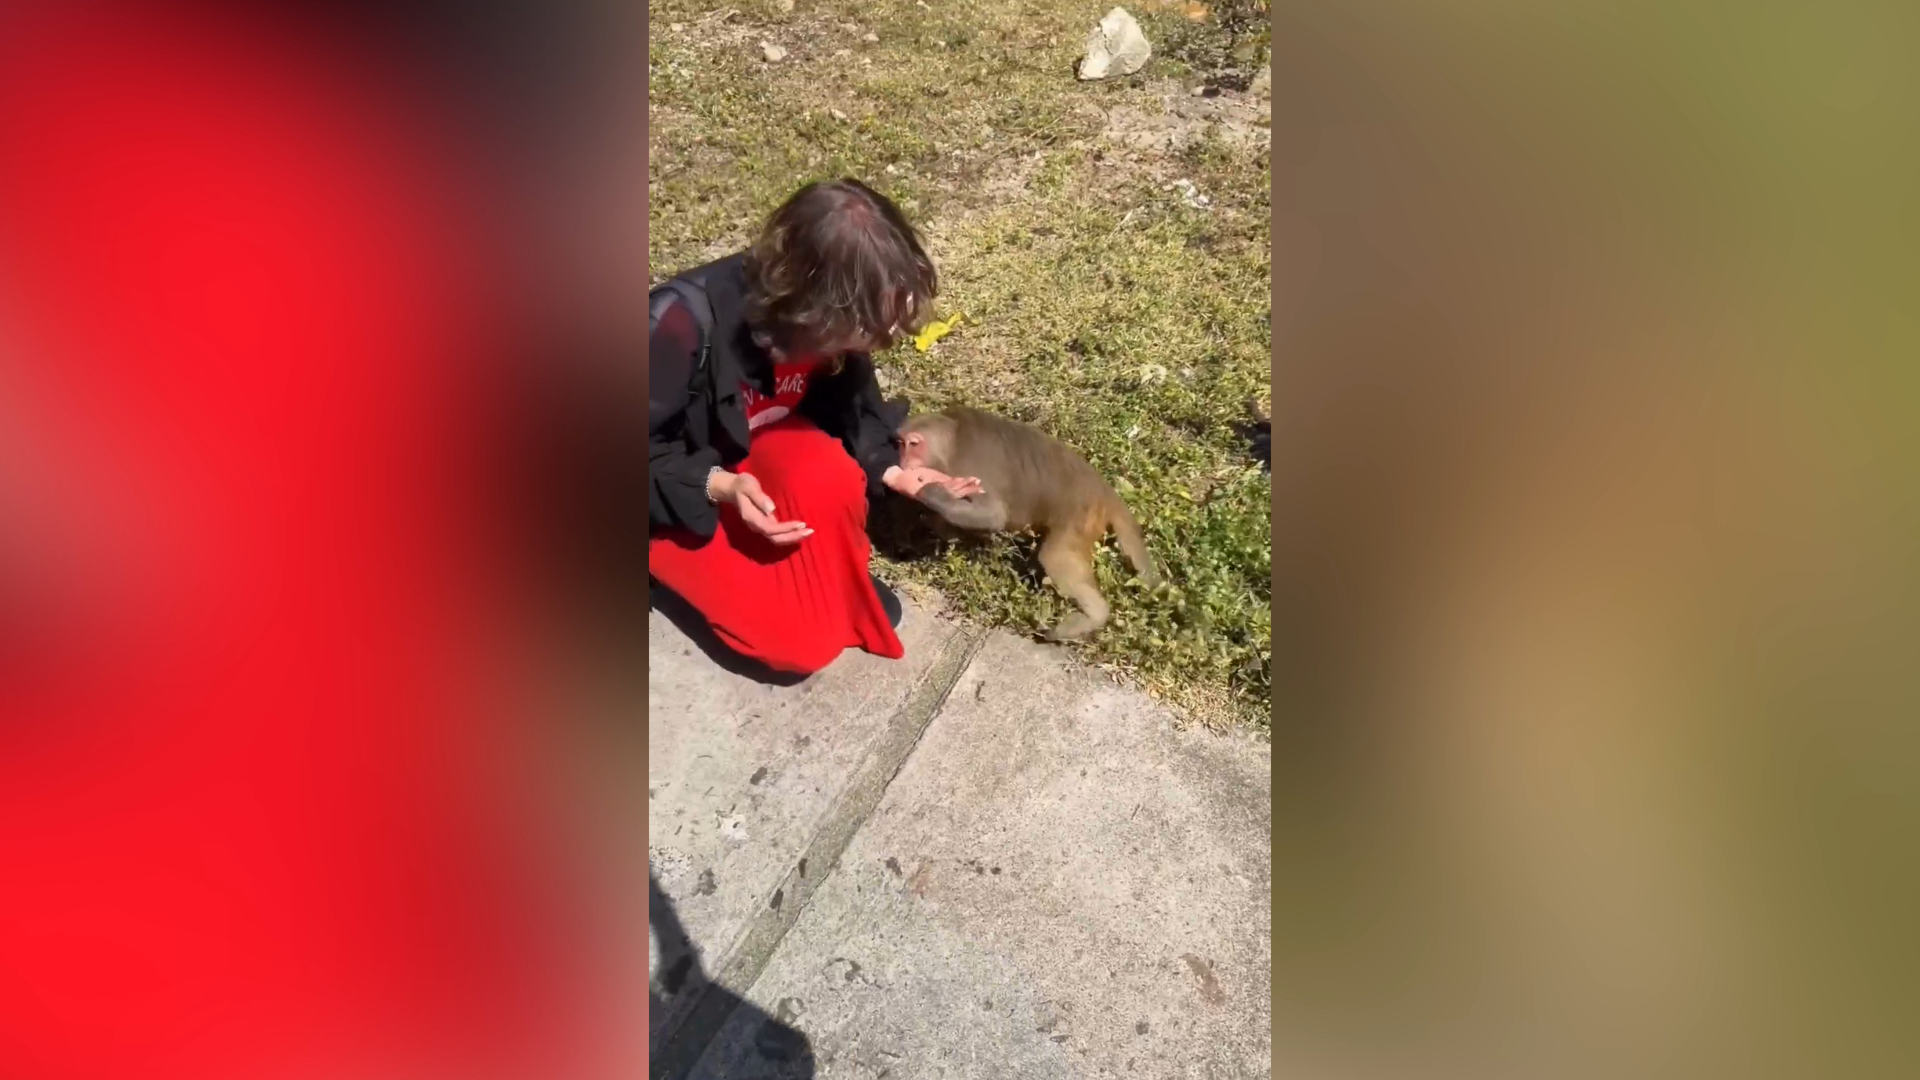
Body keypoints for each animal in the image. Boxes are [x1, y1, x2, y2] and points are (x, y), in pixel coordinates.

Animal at [896, 406, 1159, 641]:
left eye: (912, 445)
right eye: (900, 444)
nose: (902, 461)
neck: (951, 440)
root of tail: (1104, 489)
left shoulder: (967, 468)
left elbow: (994, 515)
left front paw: (930, 493)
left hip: (1079, 516)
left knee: (1054, 557)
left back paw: (1092, 616)